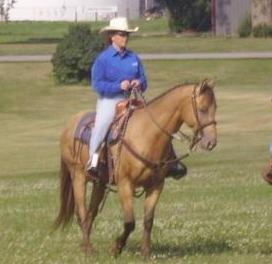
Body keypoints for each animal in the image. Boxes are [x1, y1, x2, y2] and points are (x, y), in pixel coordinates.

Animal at [54, 79, 218, 256]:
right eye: (202, 109)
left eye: (215, 107)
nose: (211, 142)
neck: (147, 134)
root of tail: (70, 124)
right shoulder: (125, 185)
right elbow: (130, 222)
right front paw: (116, 247)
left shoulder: (156, 185)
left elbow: (148, 220)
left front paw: (146, 252)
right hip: (78, 177)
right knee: (82, 213)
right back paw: (88, 249)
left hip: (100, 183)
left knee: (91, 213)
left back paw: (86, 246)